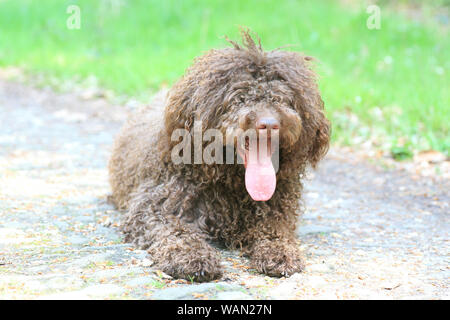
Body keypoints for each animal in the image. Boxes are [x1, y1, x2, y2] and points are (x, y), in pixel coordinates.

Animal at [107, 28, 328, 282]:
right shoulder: (155, 208)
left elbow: (275, 232)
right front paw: (192, 257)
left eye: (283, 98)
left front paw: (280, 252)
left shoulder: (276, 212)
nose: (270, 123)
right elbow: (177, 232)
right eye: (239, 97)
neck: (231, 183)